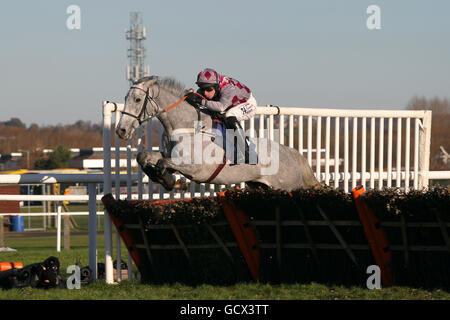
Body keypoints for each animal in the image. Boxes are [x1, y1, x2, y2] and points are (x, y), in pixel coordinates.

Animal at [116, 76, 320, 191]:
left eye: (137, 99)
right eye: (125, 98)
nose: (121, 130)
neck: (187, 127)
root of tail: (291, 154)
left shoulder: (195, 169)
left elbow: (163, 163)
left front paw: (166, 179)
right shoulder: (169, 154)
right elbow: (144, 157)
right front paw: (164, 179)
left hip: (286, 187)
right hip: (260, 187)